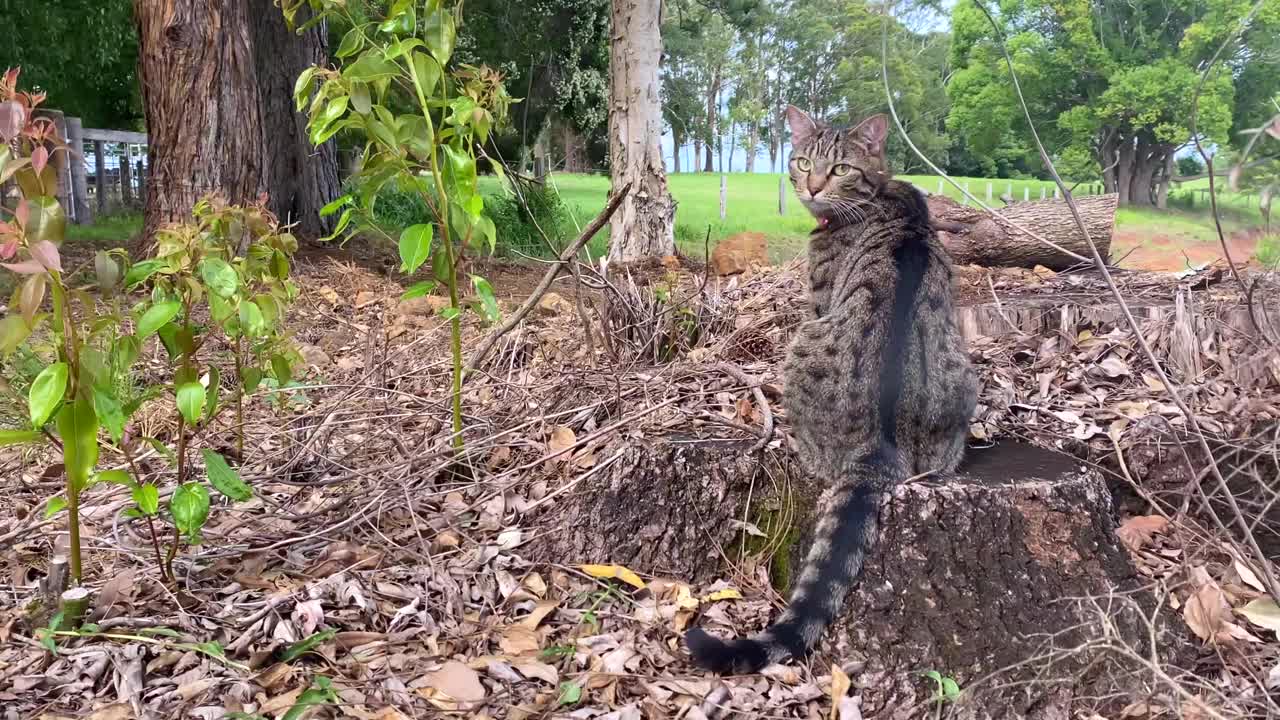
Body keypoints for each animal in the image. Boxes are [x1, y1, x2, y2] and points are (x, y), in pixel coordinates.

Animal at [691, 106, 977, 671]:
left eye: (841, 168)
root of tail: (879, 448)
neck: (883, 195)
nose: (813, 185)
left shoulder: (817, 301)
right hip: (963, 371)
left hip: (803, 344)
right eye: (803, 162)